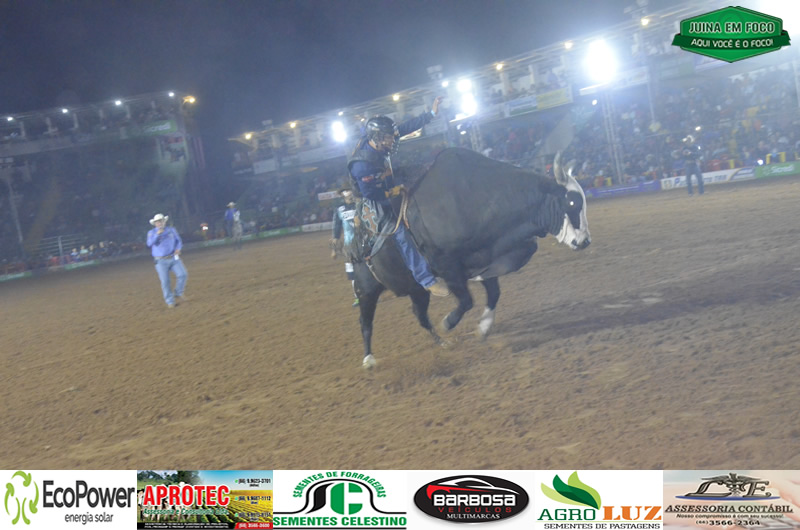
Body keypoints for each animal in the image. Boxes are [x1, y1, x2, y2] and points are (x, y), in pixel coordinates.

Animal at [351, 147, 590, 368]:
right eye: (571, 203)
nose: (585, 241)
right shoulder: (446, 265)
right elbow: (466, 300)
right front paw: (448, 322)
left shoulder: (486, 258)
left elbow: (493, 294)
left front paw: (483, 328)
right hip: (366, 289)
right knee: (365, 321)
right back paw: (368, 359)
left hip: (416, 289)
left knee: (420, 316)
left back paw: (442, 343)